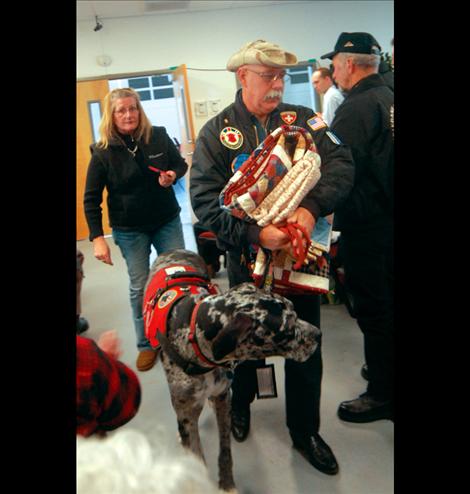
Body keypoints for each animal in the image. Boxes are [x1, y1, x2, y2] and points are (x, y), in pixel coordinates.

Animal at [142, 249, 320, 492]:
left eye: (295, 309)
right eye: (287, 331)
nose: (319, 334)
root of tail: (176, 250)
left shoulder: (223, 399)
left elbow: (225, 451)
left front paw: (227, 484)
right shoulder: (187, 413)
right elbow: (195, 457)